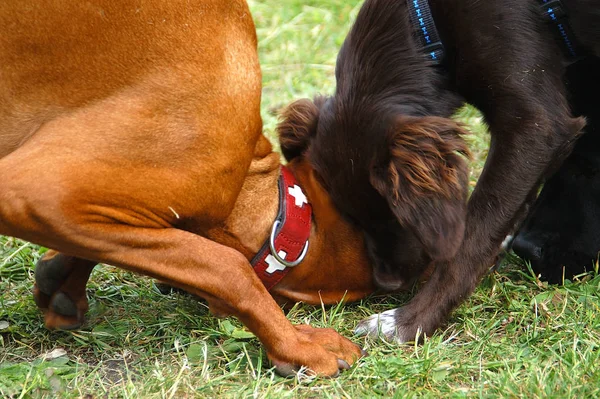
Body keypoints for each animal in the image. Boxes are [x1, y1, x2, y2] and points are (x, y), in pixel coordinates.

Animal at [278, 0, 596, 344]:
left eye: (395, 218)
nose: (387, 283)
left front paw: (408, 322)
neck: (424, 24)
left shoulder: (538, 125)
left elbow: (473, 238)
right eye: (354, 219)